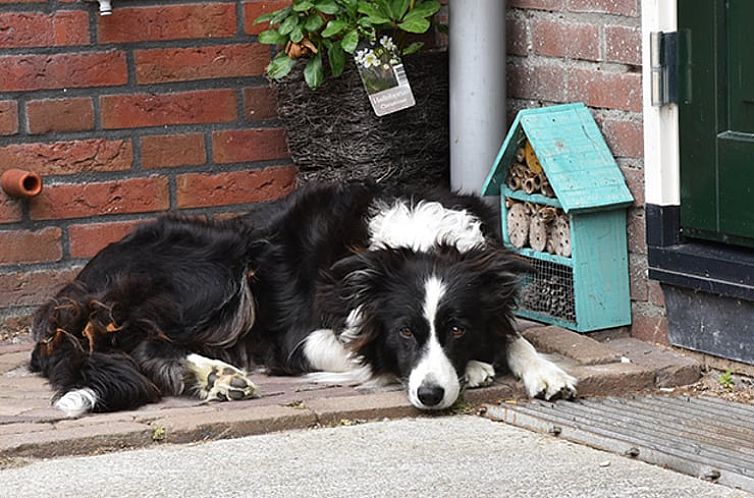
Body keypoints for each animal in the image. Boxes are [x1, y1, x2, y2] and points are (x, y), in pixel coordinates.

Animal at [26, 181, 572, 414]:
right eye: (404, 332)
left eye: (457, 327)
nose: (430, 396)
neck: (414, 243)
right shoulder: (298, 339)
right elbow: (365, 354)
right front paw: (475, 367)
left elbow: (514, 335)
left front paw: (546, 372)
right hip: (220, 266)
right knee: (142, 342)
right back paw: (217, 375)